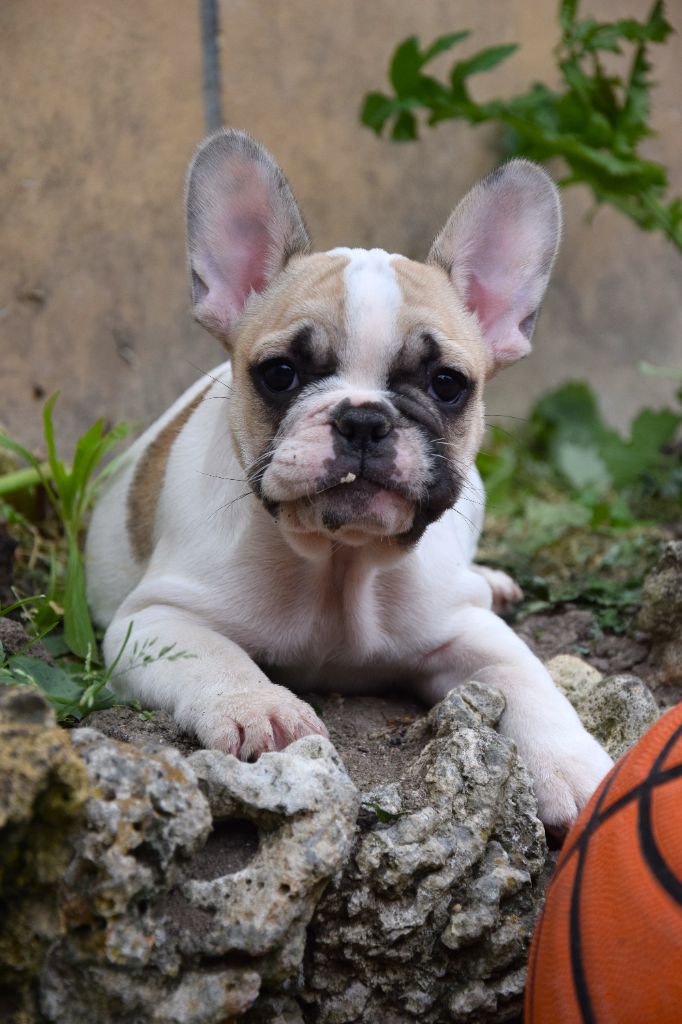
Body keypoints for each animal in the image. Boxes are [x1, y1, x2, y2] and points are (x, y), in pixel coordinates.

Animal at [86, 128, 610, 831]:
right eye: (280, 373)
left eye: (448, 384)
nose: (363, 419)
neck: (340, 560)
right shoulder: (155, 621)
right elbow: (217, 657)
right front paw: (261, 707)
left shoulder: (468, 632)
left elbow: (530, 680)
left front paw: (571, 765)